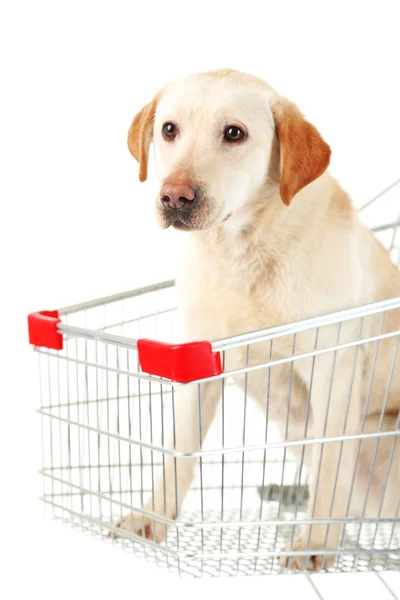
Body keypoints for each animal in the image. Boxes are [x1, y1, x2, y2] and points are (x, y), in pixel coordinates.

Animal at [114, 68, 400, 568]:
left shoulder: (333, 368)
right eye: (169, 129)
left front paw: (315, 542)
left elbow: (332, 464)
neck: (241, 251)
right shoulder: (197, 369)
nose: (175, 197)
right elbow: (177, 454)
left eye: (234, 133)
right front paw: (152, 518)